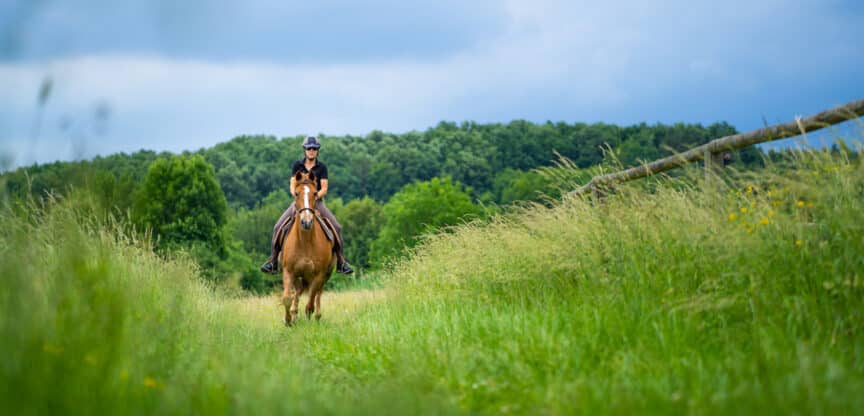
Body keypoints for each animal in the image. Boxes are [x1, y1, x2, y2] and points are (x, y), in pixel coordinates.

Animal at [280, 170, 336, 326]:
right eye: (296, 193)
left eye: (315, 193)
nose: (306, 222)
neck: (305, 241)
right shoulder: (289, 271)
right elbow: (287, 298)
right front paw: (288, 320)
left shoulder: (318, 275)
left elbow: (310, 303)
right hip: (300, 276)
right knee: (298, 293)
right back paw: (294, 315)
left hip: (324, 275)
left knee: (317, 294)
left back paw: (316, 316)